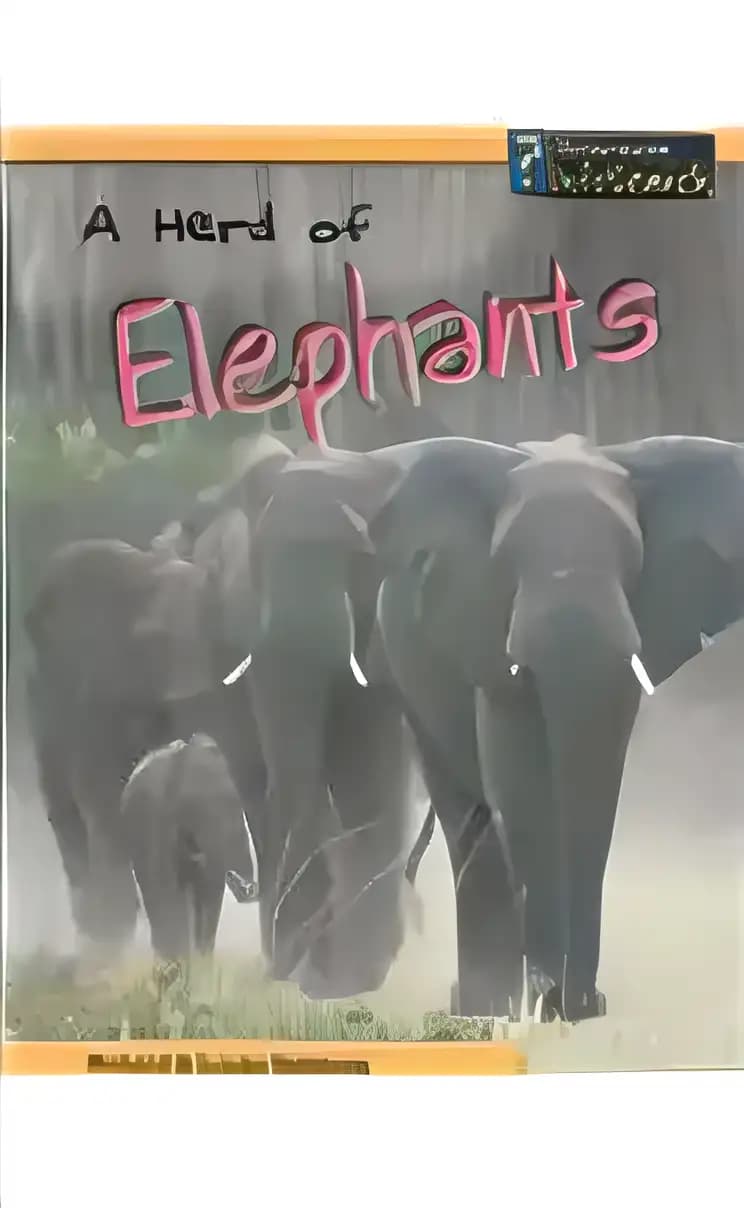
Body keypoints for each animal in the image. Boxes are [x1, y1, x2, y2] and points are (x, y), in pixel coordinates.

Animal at [358, 430, 744, 1020]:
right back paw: (484, 1006)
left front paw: (571, 1009)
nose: (589, 1003)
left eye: (633, 561)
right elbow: (520, 786)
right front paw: (552, 1003)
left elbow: (597, 786)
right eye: (506, 562)